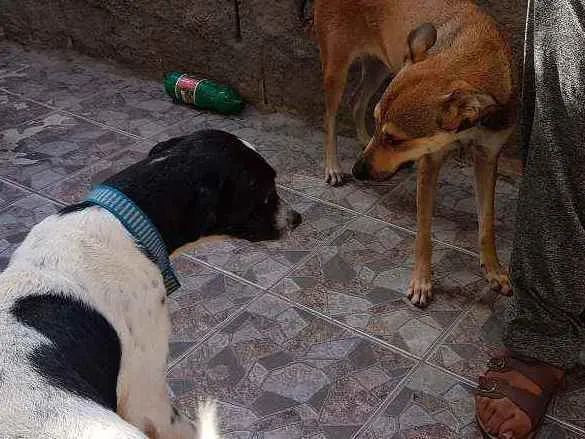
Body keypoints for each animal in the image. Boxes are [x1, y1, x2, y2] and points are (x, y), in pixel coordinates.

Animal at [312, 0, 512, 308]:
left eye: (395, 139)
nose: (357, 171)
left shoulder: (488, 157)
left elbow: (487, 224)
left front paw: (494, 269)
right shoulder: (430, 163)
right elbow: (423, 232)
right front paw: (421, 281)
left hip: (380, 67)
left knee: (357, 100)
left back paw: (363, 141)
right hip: (336, 66)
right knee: (330, 117)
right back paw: (333, 167)